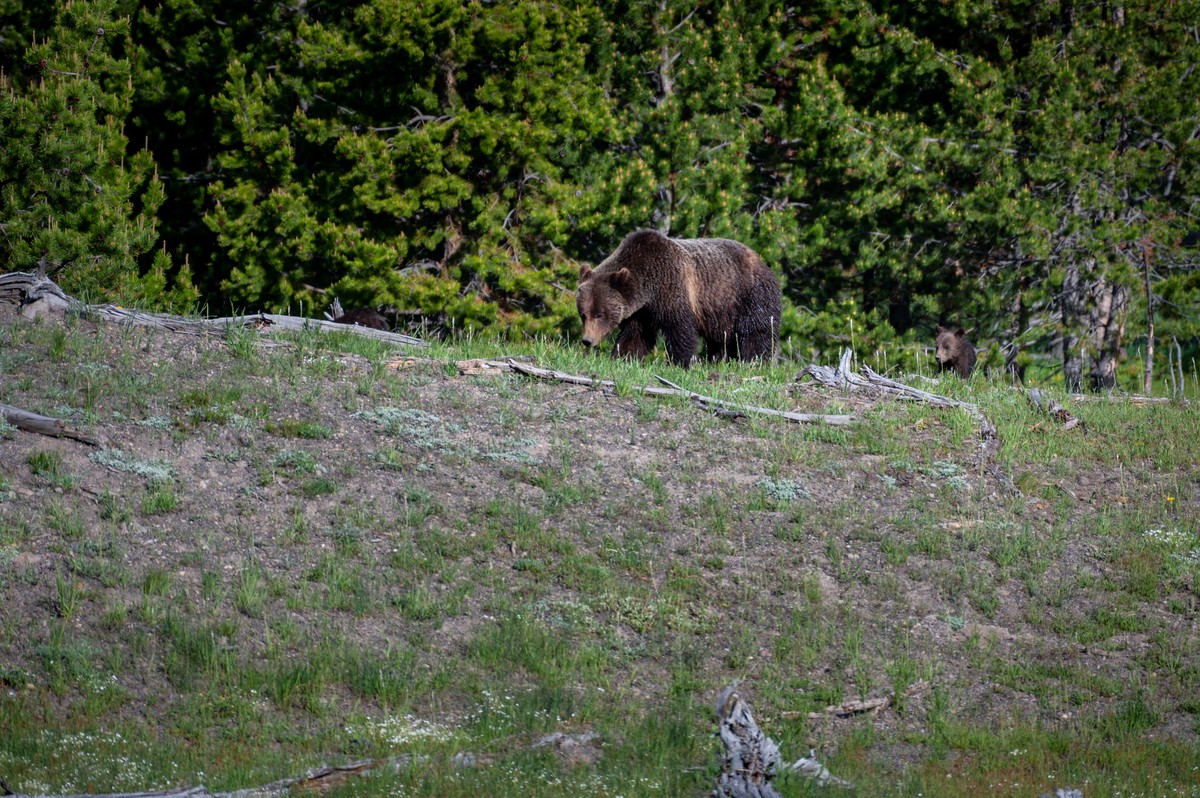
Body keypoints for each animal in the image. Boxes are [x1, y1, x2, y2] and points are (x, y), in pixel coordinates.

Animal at [576, 230, 782, 367]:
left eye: (600, 314)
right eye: (583, 314)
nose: (587, 340)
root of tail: (761, 260)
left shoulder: (671, 286)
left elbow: (679, 327)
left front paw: (679, 362)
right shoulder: (642, 311)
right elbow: (636, 334)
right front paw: (623, 356)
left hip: (748, 296)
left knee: (756, 331)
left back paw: (753, 362)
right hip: (721, 313)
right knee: (720, 340)